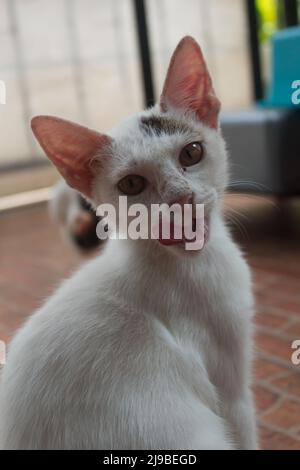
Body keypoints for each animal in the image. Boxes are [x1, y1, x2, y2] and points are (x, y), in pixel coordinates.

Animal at [0, 35, 258, 448]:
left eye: (192, 153)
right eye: (132, 184)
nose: (181, 198)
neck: (185, 262)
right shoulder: (230, 387)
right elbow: (244, 427)